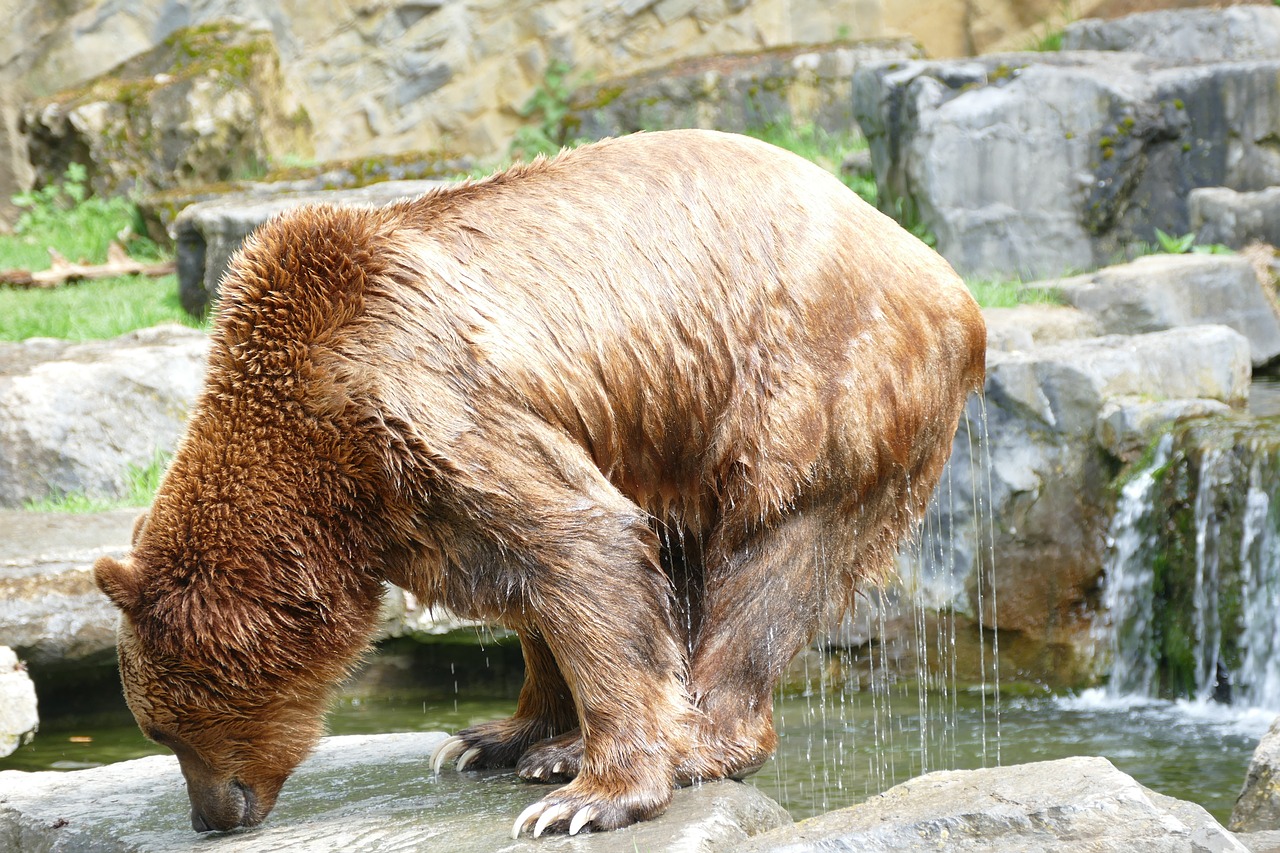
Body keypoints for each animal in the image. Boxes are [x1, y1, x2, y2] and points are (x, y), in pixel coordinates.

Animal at [94, 128, 983, 835]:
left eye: (169, 730)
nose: (212, 814)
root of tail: (952, 287)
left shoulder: (423, 397)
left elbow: (578, 540)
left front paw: (587, 796)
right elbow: (536, 582)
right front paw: (495, 737)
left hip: (809, 385)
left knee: (778, 555)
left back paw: (699, 740)